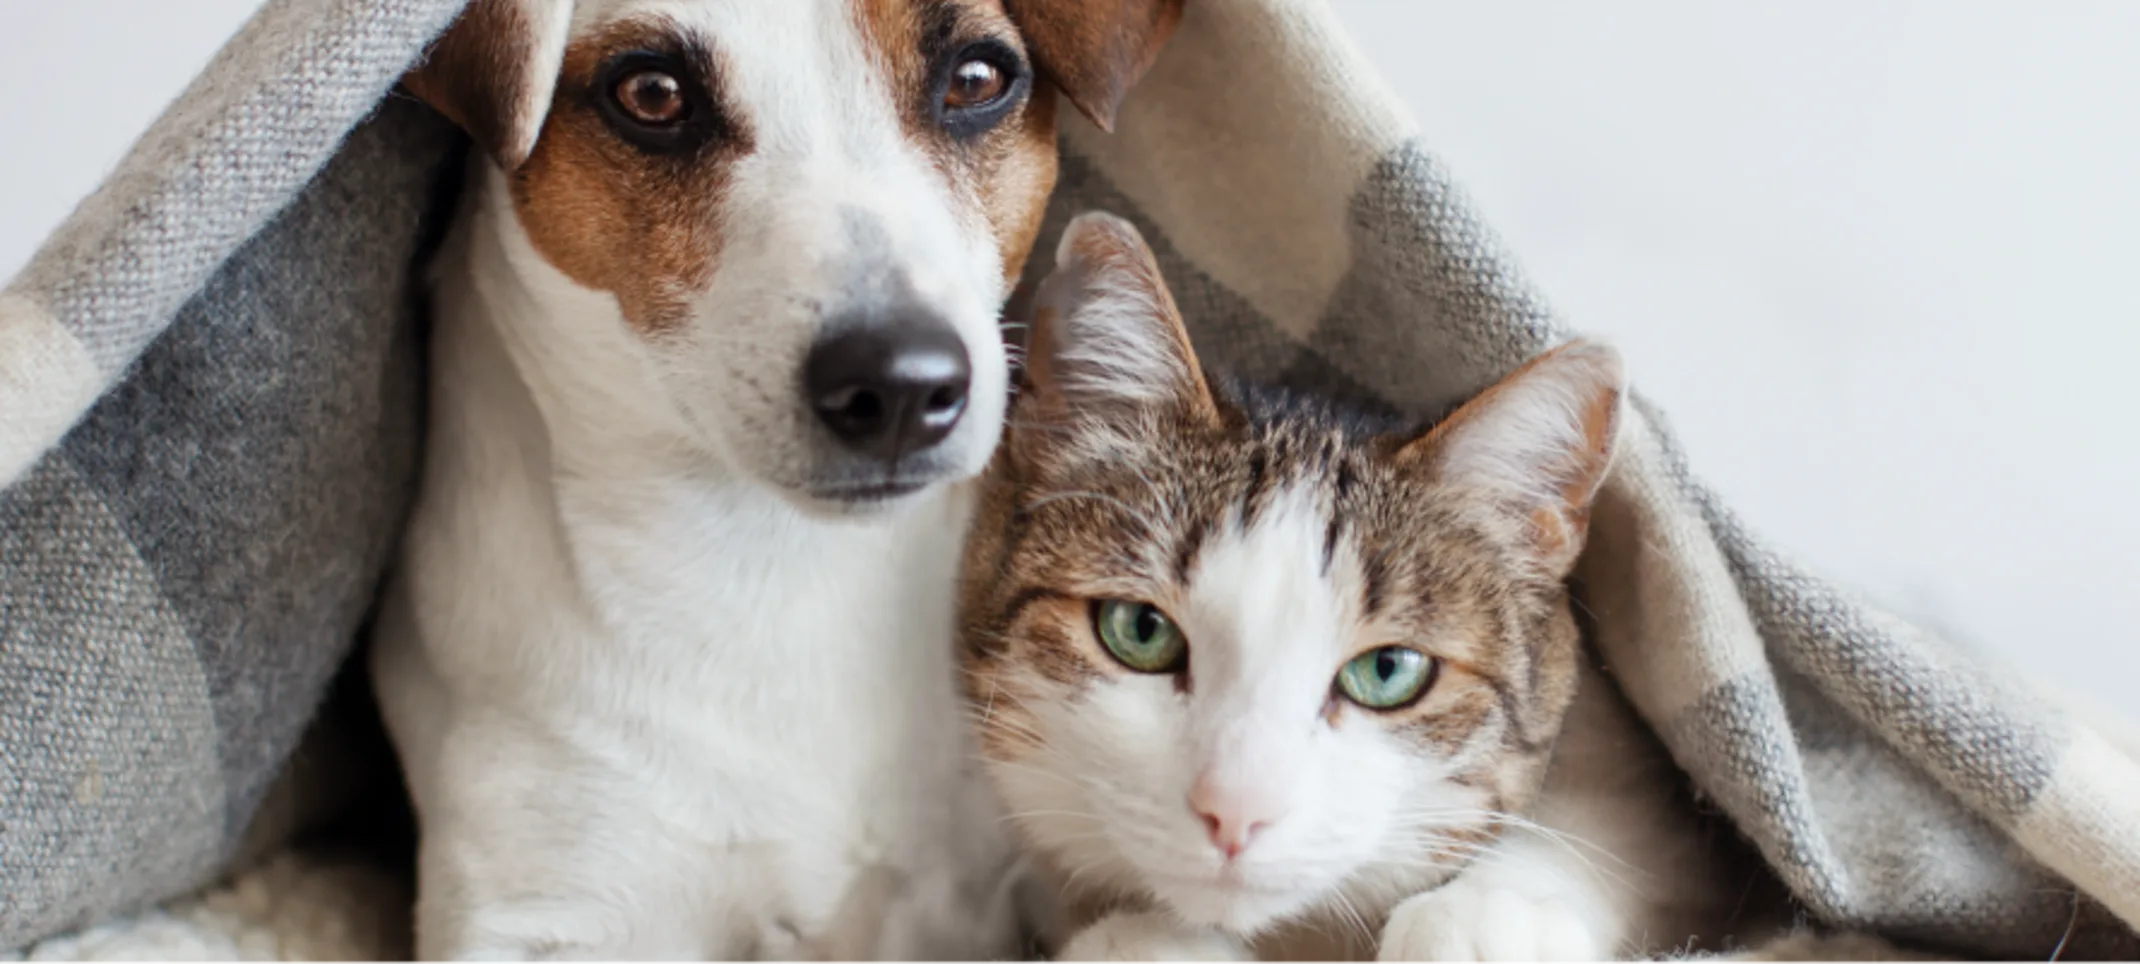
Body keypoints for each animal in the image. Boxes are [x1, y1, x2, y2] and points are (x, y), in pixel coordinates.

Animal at [954, 213, 1771, 964]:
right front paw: (1146, 942)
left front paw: (1484, 918)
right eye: (1139, 630)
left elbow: (1623, 829)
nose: (1235, 811)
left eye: (1388, 671)